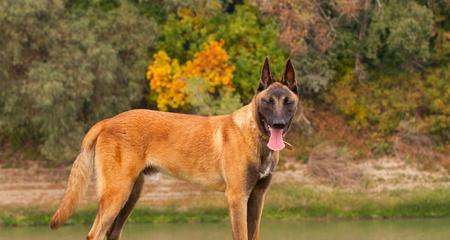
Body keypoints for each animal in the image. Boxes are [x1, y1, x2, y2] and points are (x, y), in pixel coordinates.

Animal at [50, 57, 298, 240]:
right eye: (267, 101)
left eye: (288, 102)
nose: (278, 124)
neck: (255, 133)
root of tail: (108, 121)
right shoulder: (237, 198)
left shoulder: (257, 197)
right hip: (117, 192)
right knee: (95, 234)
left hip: (131, 193)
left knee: (112, 233)